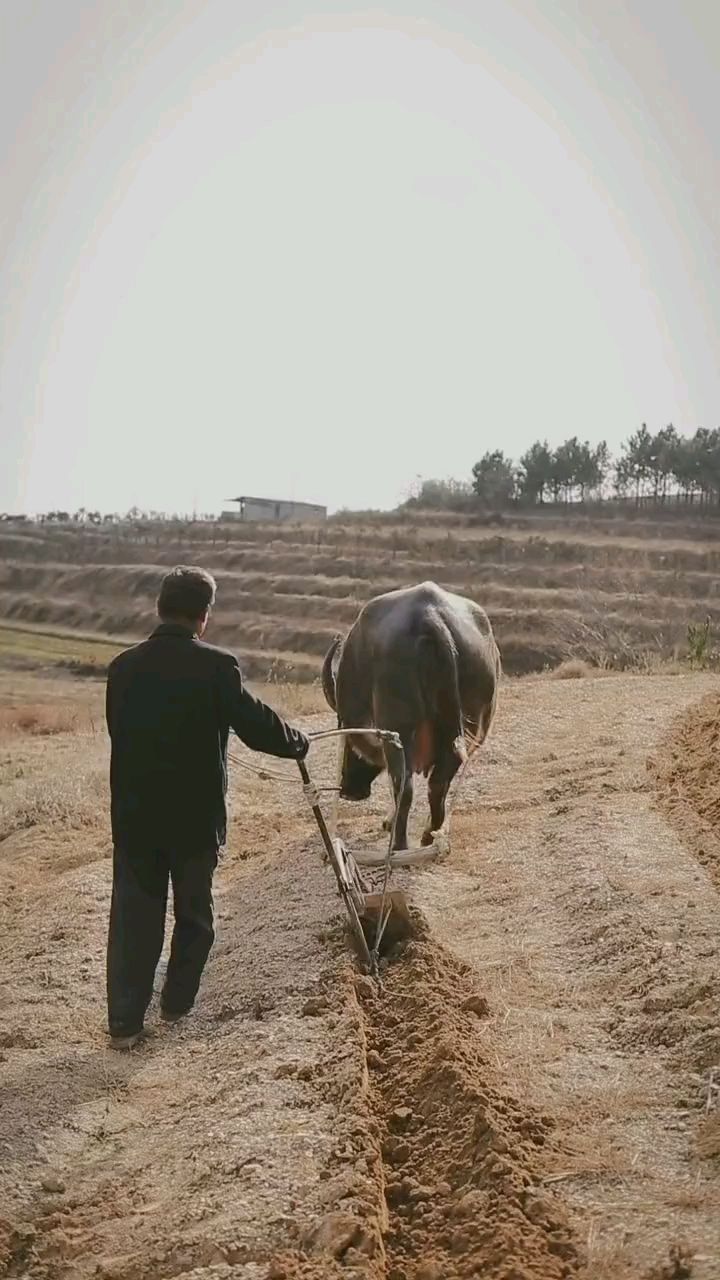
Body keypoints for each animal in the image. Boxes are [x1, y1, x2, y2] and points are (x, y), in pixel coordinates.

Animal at [320, 583, 499, 849]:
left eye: (348, 740)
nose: (348, 790)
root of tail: (431, 620)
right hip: (467, 728)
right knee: (439, 783)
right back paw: (430, 834)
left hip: (398, 730)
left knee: (404, 786)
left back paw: (399, 845)